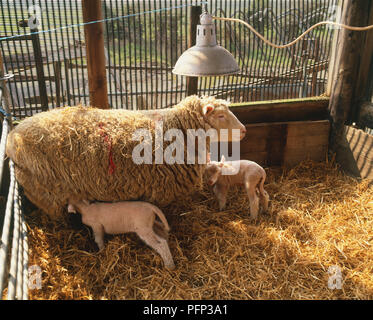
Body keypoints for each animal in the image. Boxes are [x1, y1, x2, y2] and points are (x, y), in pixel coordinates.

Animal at [5, 95, 246, 220]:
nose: (244, 131)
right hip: (46, 190)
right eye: (221, 116)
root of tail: (12, 137)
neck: (178, 129)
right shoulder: (160, 189)